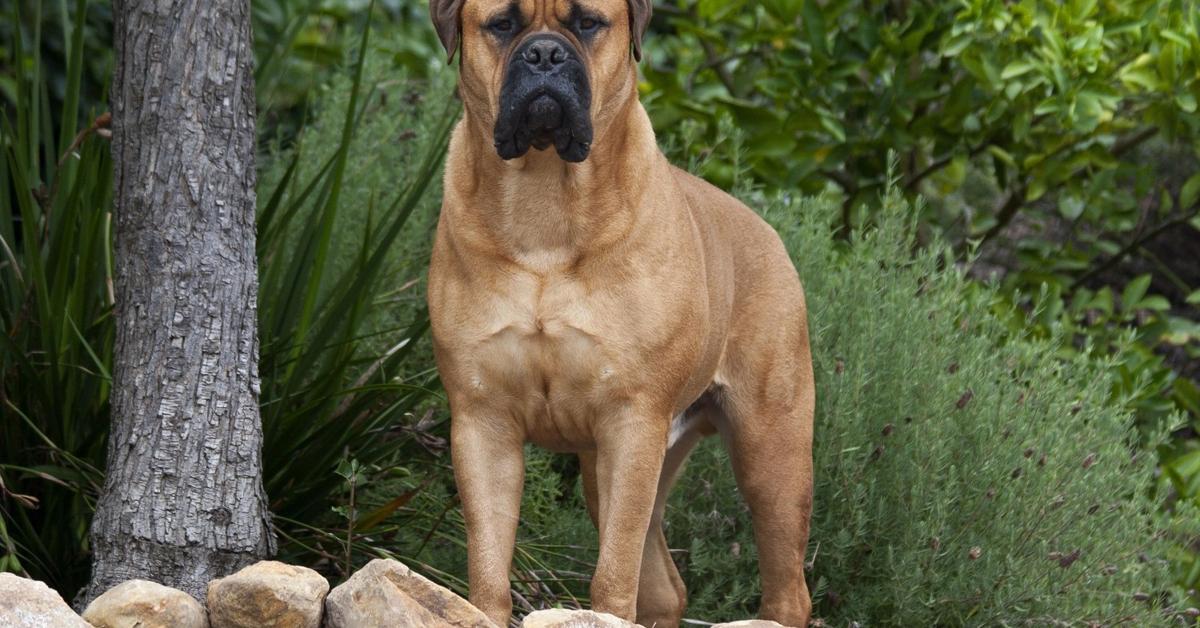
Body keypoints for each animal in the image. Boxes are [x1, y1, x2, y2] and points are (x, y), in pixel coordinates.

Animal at [424, 2, 816, 624]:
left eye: (587, 23)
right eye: (503, 24)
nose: (544, 54)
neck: (544, 201)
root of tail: (768, 233)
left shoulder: (632, 422)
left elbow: (613, 574)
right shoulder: (482, 421)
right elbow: (487, 566)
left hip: (770, 451)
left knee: (785, 588)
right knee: (665, 587)